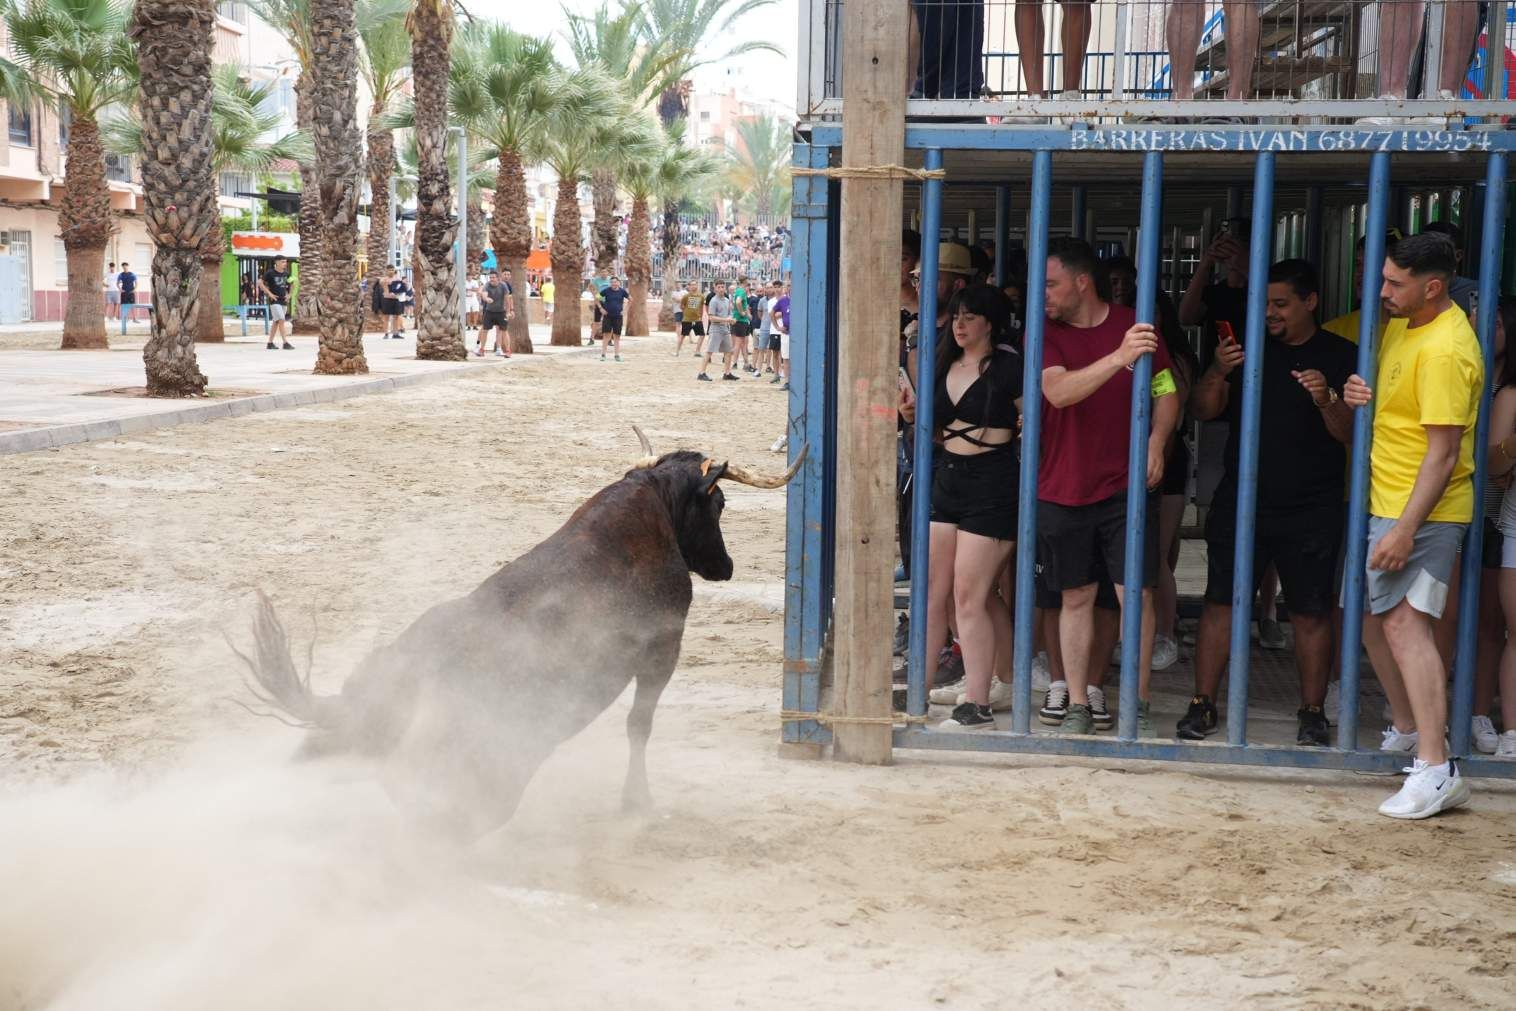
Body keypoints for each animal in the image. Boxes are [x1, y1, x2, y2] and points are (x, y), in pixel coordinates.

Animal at [236, 427, 806, 836]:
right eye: (721, 504)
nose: (725, 567)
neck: (655, 504)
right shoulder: (662, 650)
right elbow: (638, 726)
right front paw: (637, 803)